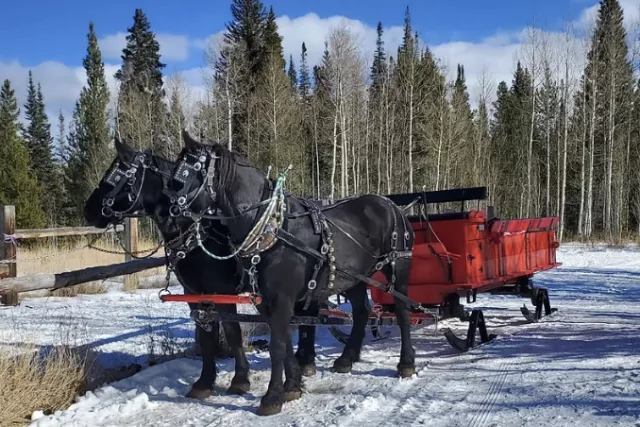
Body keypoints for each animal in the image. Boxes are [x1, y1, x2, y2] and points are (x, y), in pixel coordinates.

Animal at [169, 131, 420, 418]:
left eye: (184, 176)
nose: (171, 218)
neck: (272, 228)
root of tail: (393, 206)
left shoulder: (281, 297)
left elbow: (277, 346)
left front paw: (273, 397)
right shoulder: (266, 299)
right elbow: (285, 340)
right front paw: (292, 386)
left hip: (398, 267)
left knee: (402, 312)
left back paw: (406, 363)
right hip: (354, 277)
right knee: (361, 312)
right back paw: (346, 359)